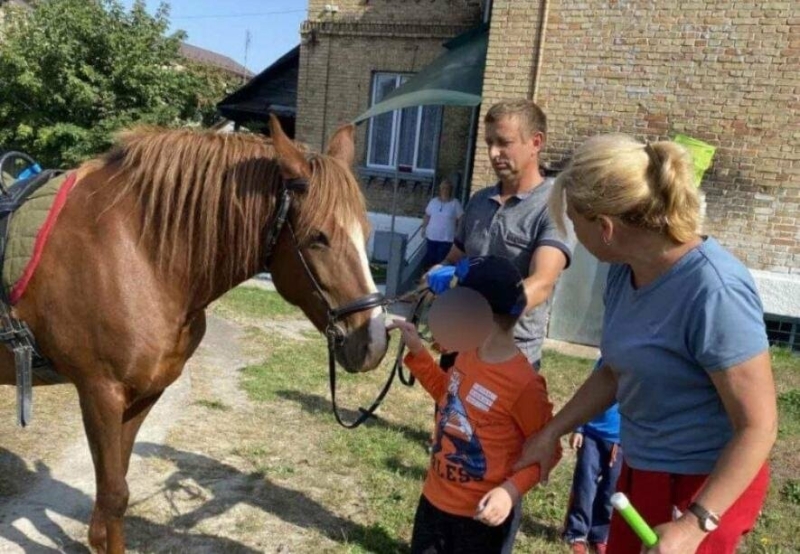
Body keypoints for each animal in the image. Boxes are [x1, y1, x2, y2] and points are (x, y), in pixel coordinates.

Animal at [0, 114, 390, 548]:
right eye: (318, 237)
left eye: (366, 230)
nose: (373, 342)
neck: (138, 254)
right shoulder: (100, 393)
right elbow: (114, 497)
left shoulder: (143, 395)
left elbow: (114, 500)